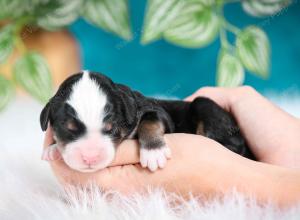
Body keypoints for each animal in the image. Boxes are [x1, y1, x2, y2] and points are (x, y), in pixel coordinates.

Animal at [40, 71, 255, 173]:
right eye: (67, 129)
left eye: (111, 128)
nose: (90, 158)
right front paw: (53, 148)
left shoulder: (157, 112)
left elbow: (150, 121)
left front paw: (153, 152)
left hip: (205, 105)